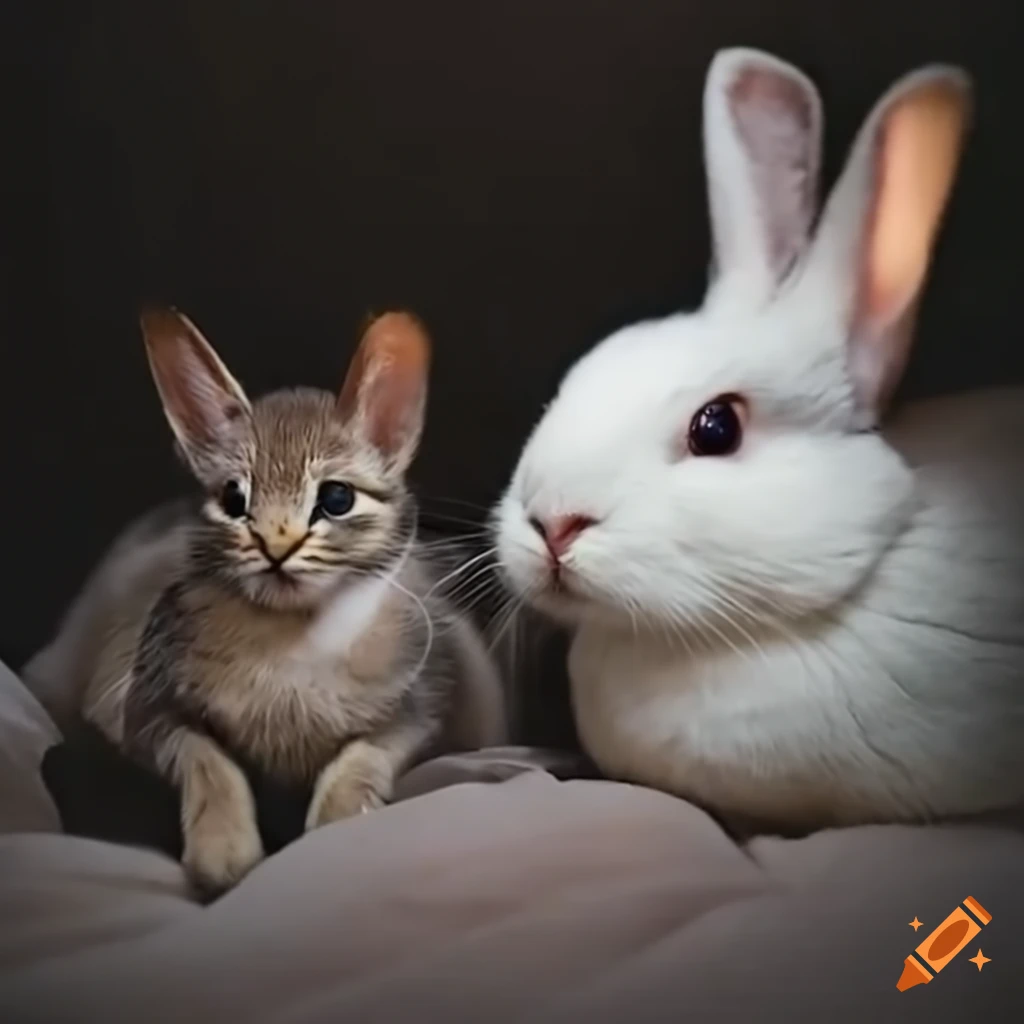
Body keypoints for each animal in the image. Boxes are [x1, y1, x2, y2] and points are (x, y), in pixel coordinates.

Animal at [25, 308, 506, 891]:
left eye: (336, 498)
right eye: (235, 498)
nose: (277, 546)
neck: (292, 646)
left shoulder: (427, 705)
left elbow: (364, 752)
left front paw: (337, 821)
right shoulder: (142, 709)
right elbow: (208, 759)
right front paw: (224, 846)